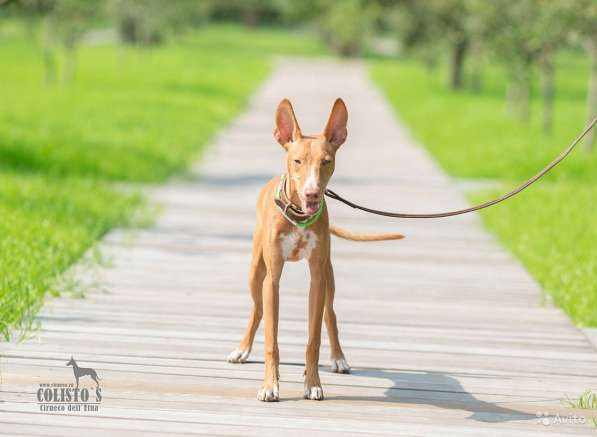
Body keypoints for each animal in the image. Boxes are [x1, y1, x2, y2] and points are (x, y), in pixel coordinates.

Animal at [226, 97, 402, 400]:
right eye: (297, 161)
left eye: (326, 162)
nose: (312, 194)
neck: (298, 217)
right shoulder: (272, 280)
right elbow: (272, 338)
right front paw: (270, 385)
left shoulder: (317, 279)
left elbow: (314, 338)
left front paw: (313, 383)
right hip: (256, 272)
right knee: (257, 309)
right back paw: (243, 349)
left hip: (328, 274)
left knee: (330, 313)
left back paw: (339, 358)